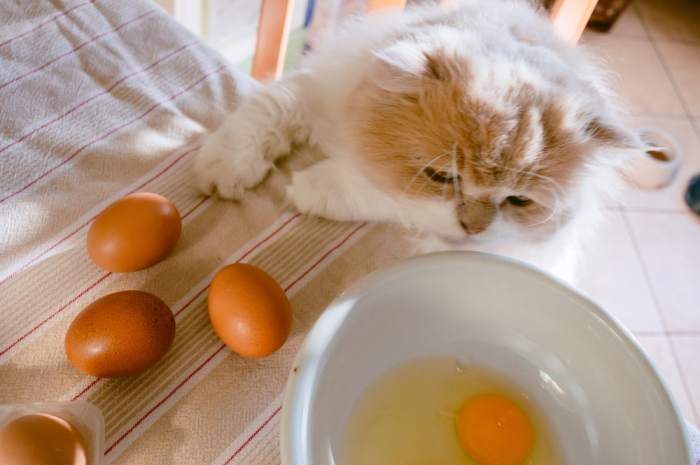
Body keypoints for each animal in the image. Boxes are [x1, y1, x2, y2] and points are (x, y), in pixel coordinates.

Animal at [191, 0, 640, 282]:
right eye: (441, 177)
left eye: (519, 202)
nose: (473, 229)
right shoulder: (320, 86)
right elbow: (267, 109)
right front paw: (225, 168)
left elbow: (383, 196)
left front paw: (309, 187)